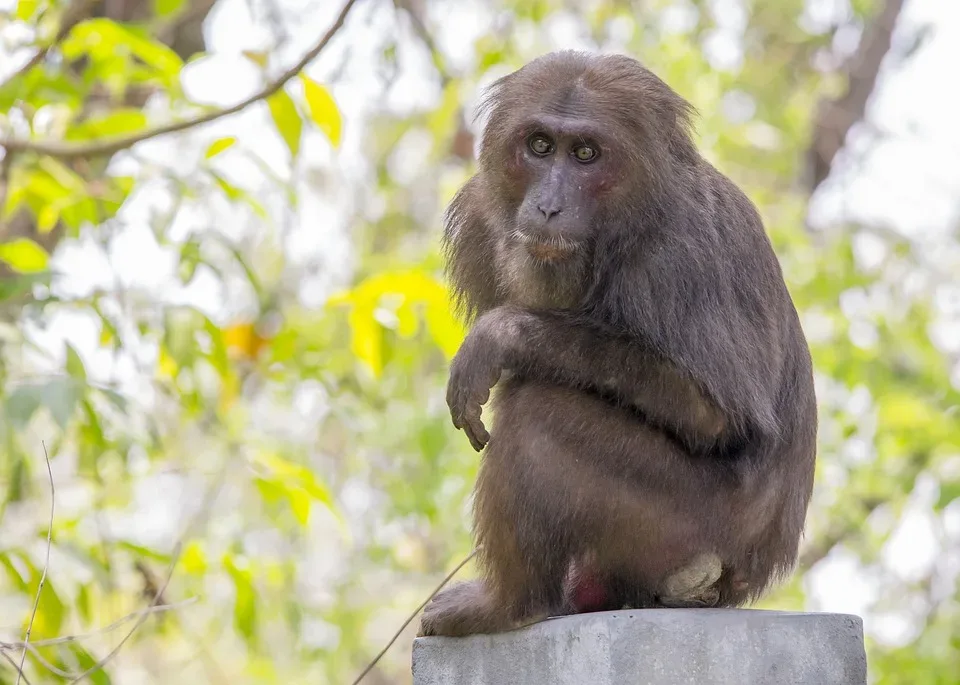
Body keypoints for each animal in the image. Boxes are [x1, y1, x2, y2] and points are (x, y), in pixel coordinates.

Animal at [416, 50, 812, 640]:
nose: (549, 206)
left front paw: (504, 336)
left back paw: (510, 604)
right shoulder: (480, 226)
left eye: (586, 154)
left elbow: (717, 416)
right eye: (539, 146)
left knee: (538, 415)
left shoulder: (677, 257)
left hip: (686, 531)